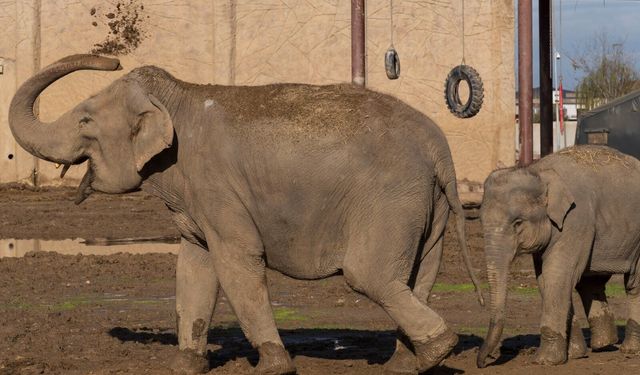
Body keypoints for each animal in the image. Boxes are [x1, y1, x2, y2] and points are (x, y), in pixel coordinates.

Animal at [10, 54, 482, 374]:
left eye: (85, 121)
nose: (112, 58)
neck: (178, 97)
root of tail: (439, 146)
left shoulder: (217, 185)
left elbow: (237, 260)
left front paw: (273, 367)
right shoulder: (197, 198)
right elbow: (194, 265)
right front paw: (184, 367)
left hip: (391, 201)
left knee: (370, 276)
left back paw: (436, 351)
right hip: (429, 206)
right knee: (416, 279)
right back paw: (406, 364)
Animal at [476, 145, 640, 368]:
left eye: (517, 223)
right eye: (480, 220)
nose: (483, 362)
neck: (539, 171)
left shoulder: (576, 219)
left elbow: (557, 275)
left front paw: (546, 361)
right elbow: (546, 280)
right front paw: (575, 354)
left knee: (634, 284)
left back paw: (629, 350)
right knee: (591, 282)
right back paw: (604, 344)